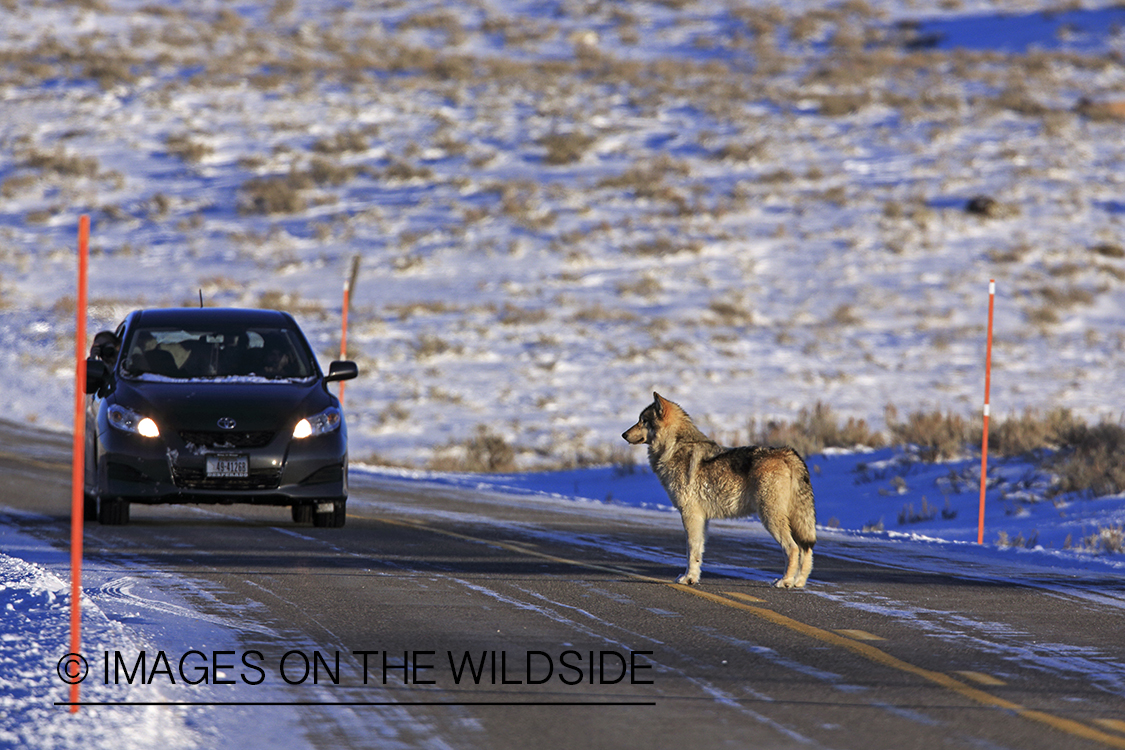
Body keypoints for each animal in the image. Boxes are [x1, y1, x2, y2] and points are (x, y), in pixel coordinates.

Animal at [622, 393, 816, 588]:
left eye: (643, 421)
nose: (623, 434)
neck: (674, 447)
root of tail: (788, 453)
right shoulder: (701, 518)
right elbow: (698, 552)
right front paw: (693, 578)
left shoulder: (690, 514)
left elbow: (690, 551)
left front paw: (687, 578)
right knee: (805, 549)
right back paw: (798, 582)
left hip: (770, 517)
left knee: (793, 548)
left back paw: (785, 581)